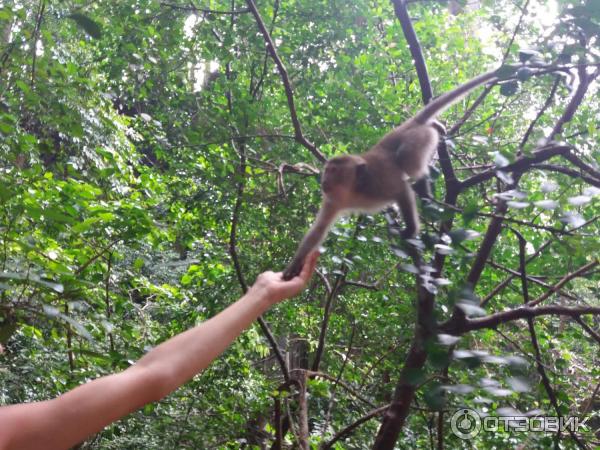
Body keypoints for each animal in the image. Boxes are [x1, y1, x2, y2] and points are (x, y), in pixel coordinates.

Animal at [284, 68, 500, 280]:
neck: (353, 188)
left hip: (418, 137)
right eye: (327, 171)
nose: (324, 179)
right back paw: (436, 128)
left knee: (408, 159)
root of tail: (409, 124)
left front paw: (411, 230)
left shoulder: (376, 183)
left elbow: (402, 190)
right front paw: (294, 265)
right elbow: (318, 230)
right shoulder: (333, 200)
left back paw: (423, 178)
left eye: (333, 171)